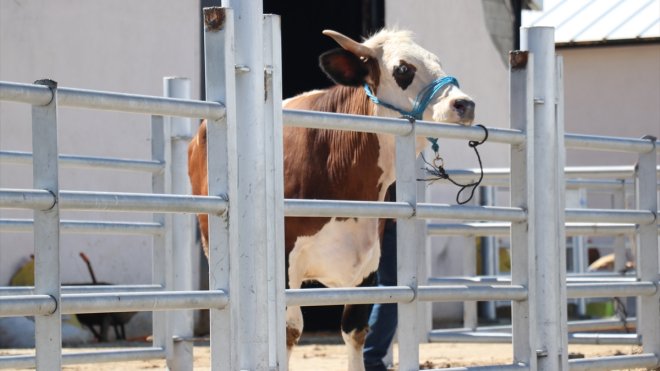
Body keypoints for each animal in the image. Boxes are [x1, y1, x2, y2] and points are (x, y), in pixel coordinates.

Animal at [189, 28, 474, 370]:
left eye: (437, 61)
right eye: (403, 69)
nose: (464, 103)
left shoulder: (368, 264)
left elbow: (355, 329)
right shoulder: (284, 259)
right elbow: (288, 331)